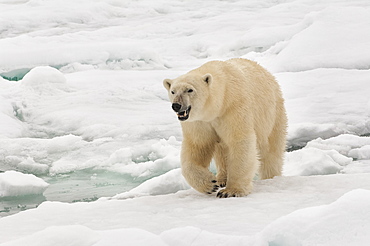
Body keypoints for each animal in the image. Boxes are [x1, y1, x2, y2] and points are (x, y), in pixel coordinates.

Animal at [163, 58, 288, 198]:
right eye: (173, 91)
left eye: (190, 90)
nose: (176, 105)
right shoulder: (199, 122)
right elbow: (198, 146)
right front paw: (210, 184)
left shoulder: (234, 108)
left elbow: (239, 141)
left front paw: (231, 191)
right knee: (221, 151)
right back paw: (221, 179)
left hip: (273, 115)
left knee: (271, 151)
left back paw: (271, 177)